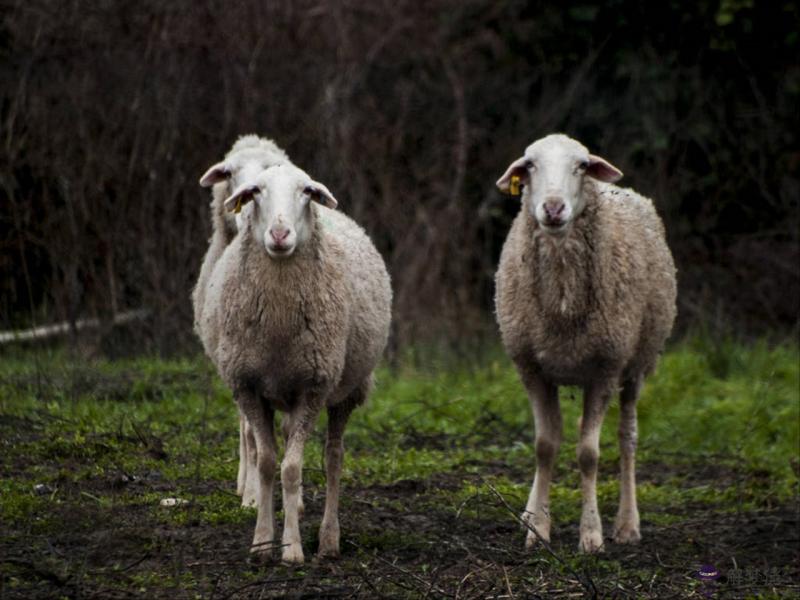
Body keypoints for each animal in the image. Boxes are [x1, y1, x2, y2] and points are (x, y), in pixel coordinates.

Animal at [191, 134, 290, 504]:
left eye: (269, 170)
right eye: (230, 173)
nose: (246, 211)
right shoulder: (242, 363)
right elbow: (252, 432)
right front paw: (252, 495)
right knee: (246, 428)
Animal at [197, 161, 390, 564]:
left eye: (306, 192)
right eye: (255, 192)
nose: (280, 233)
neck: (279, 324)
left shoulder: (312, 390)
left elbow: (291, 468)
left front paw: (292, 549)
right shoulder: (249, 387)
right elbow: (268, 464)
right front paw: (262, 542)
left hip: (345, 391)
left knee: (333, 458)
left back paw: (329, 539)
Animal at [494, 132, 676, 552]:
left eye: (580, 165)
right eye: (529, 165)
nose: (553, 208)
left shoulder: (604, 369)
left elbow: (589, 454)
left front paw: (591, 535)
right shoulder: (532, 368)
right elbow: (545, 446)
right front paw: (537, 528)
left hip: (637, 364)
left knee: (627, 438)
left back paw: (627, 524)